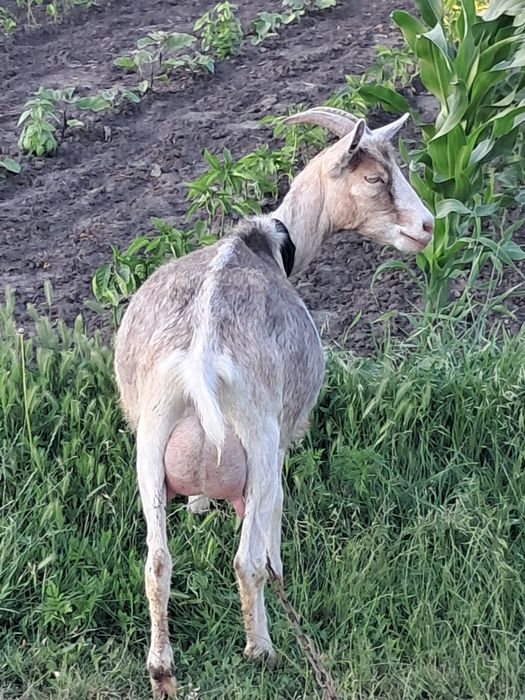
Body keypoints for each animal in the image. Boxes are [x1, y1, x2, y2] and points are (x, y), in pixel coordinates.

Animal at [114, 107, 434, 697]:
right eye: (374, 178)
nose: (426, 228)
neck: (266, 245)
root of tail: (201, 359)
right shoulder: (286, 436)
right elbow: (273, 534)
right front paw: (281, 569)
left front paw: (199, 506)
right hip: (260, 443)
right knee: (245, 561)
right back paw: (261, 649)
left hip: (148, 441)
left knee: (156, 562)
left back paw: (162, 668)